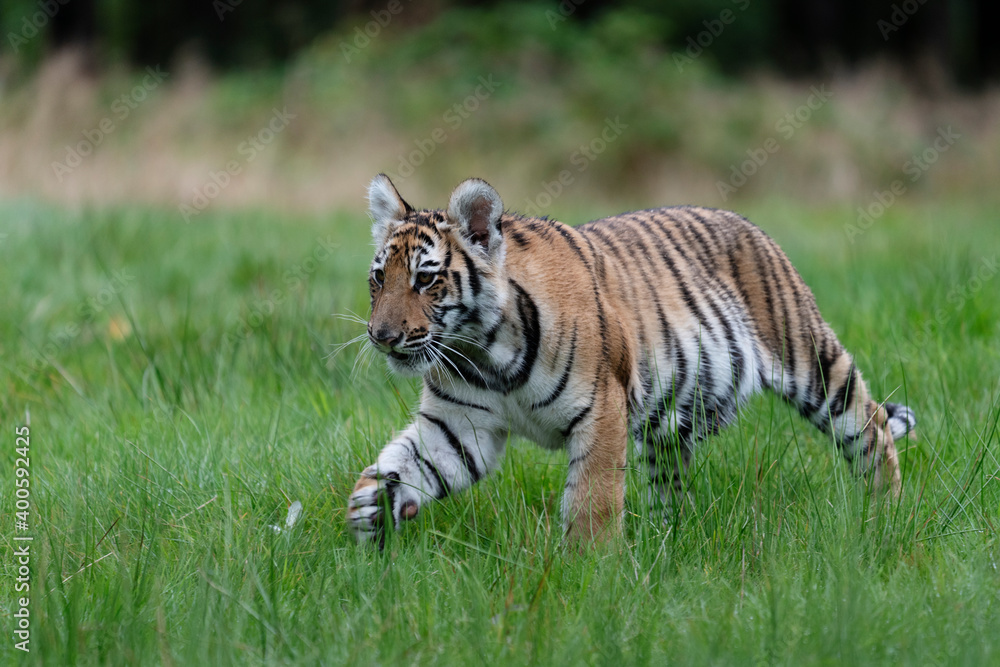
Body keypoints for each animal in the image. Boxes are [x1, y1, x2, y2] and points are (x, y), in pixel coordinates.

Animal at [347, 174, 916, 547]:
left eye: (426, 279)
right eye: (378, 278)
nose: (382, 336)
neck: (482, 351)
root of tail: (745, 221)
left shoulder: (601, 409)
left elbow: (592, 501)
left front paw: (589, 576)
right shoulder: (461, 426)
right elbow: (409, 461)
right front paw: (368, 505)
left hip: (810, 358)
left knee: (870, 428)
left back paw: (885, 519)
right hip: (671, 426)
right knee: (674, 489)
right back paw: (669, 540)